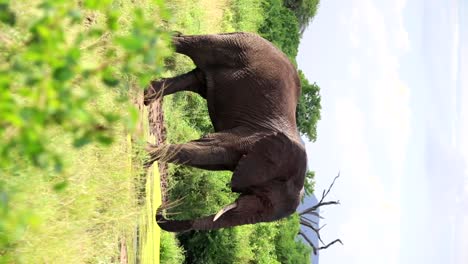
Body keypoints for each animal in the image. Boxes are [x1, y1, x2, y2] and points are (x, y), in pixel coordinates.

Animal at [145, 32, 308, 231]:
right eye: (265, 200)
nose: (162, 207)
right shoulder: (250, 136)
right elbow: (210, 149)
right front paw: (144, 157)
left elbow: (210, 158)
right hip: (233, 46)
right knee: (190, 46)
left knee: (195, 78)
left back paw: (146, 95)